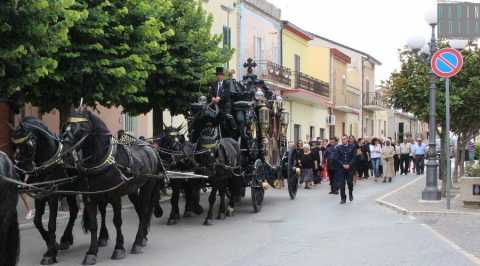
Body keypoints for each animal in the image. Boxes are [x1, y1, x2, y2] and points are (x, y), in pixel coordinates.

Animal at [11, 117, 109, 264]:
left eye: (28, 144)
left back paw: (102, 237)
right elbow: (37, 221)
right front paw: (52, 244)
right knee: (74, 211)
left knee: (102, 210)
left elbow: (51, 224)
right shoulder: (40, 195)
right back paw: (66, 238)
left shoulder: (53, 196)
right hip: (71, 191)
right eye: (14, 145)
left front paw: (50, 253)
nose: (19, 170)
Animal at [62, 110, 164, 264]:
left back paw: (137, 242)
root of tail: (150, 148)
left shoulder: (115, 196)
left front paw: (119, 248)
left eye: (81, 129)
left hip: (148, 186)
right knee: (141, 211)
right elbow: (93, 224)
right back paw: (141, 238)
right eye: (66, 127)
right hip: (132, 190)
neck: (102, 161)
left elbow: (117, 221)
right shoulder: (90, 197)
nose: (66, 155)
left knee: (145, 210)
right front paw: (91, 252)